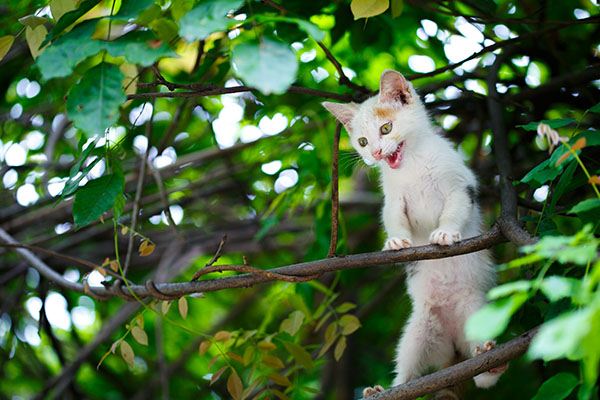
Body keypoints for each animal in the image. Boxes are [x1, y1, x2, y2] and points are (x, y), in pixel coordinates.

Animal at [324, 70, 506, 396]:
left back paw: (492, 362)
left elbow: (455, 210)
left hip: (477, 314)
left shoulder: (460, 184)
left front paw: (445, 232)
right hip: (420, 330)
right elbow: (393, 217)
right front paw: (397, 240)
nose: (375, 153)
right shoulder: (394, 198)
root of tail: (453, 350)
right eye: (362, 141)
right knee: (409, 369)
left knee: (483, 378)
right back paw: (386, 388)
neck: (413, 166)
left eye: (386, 128)